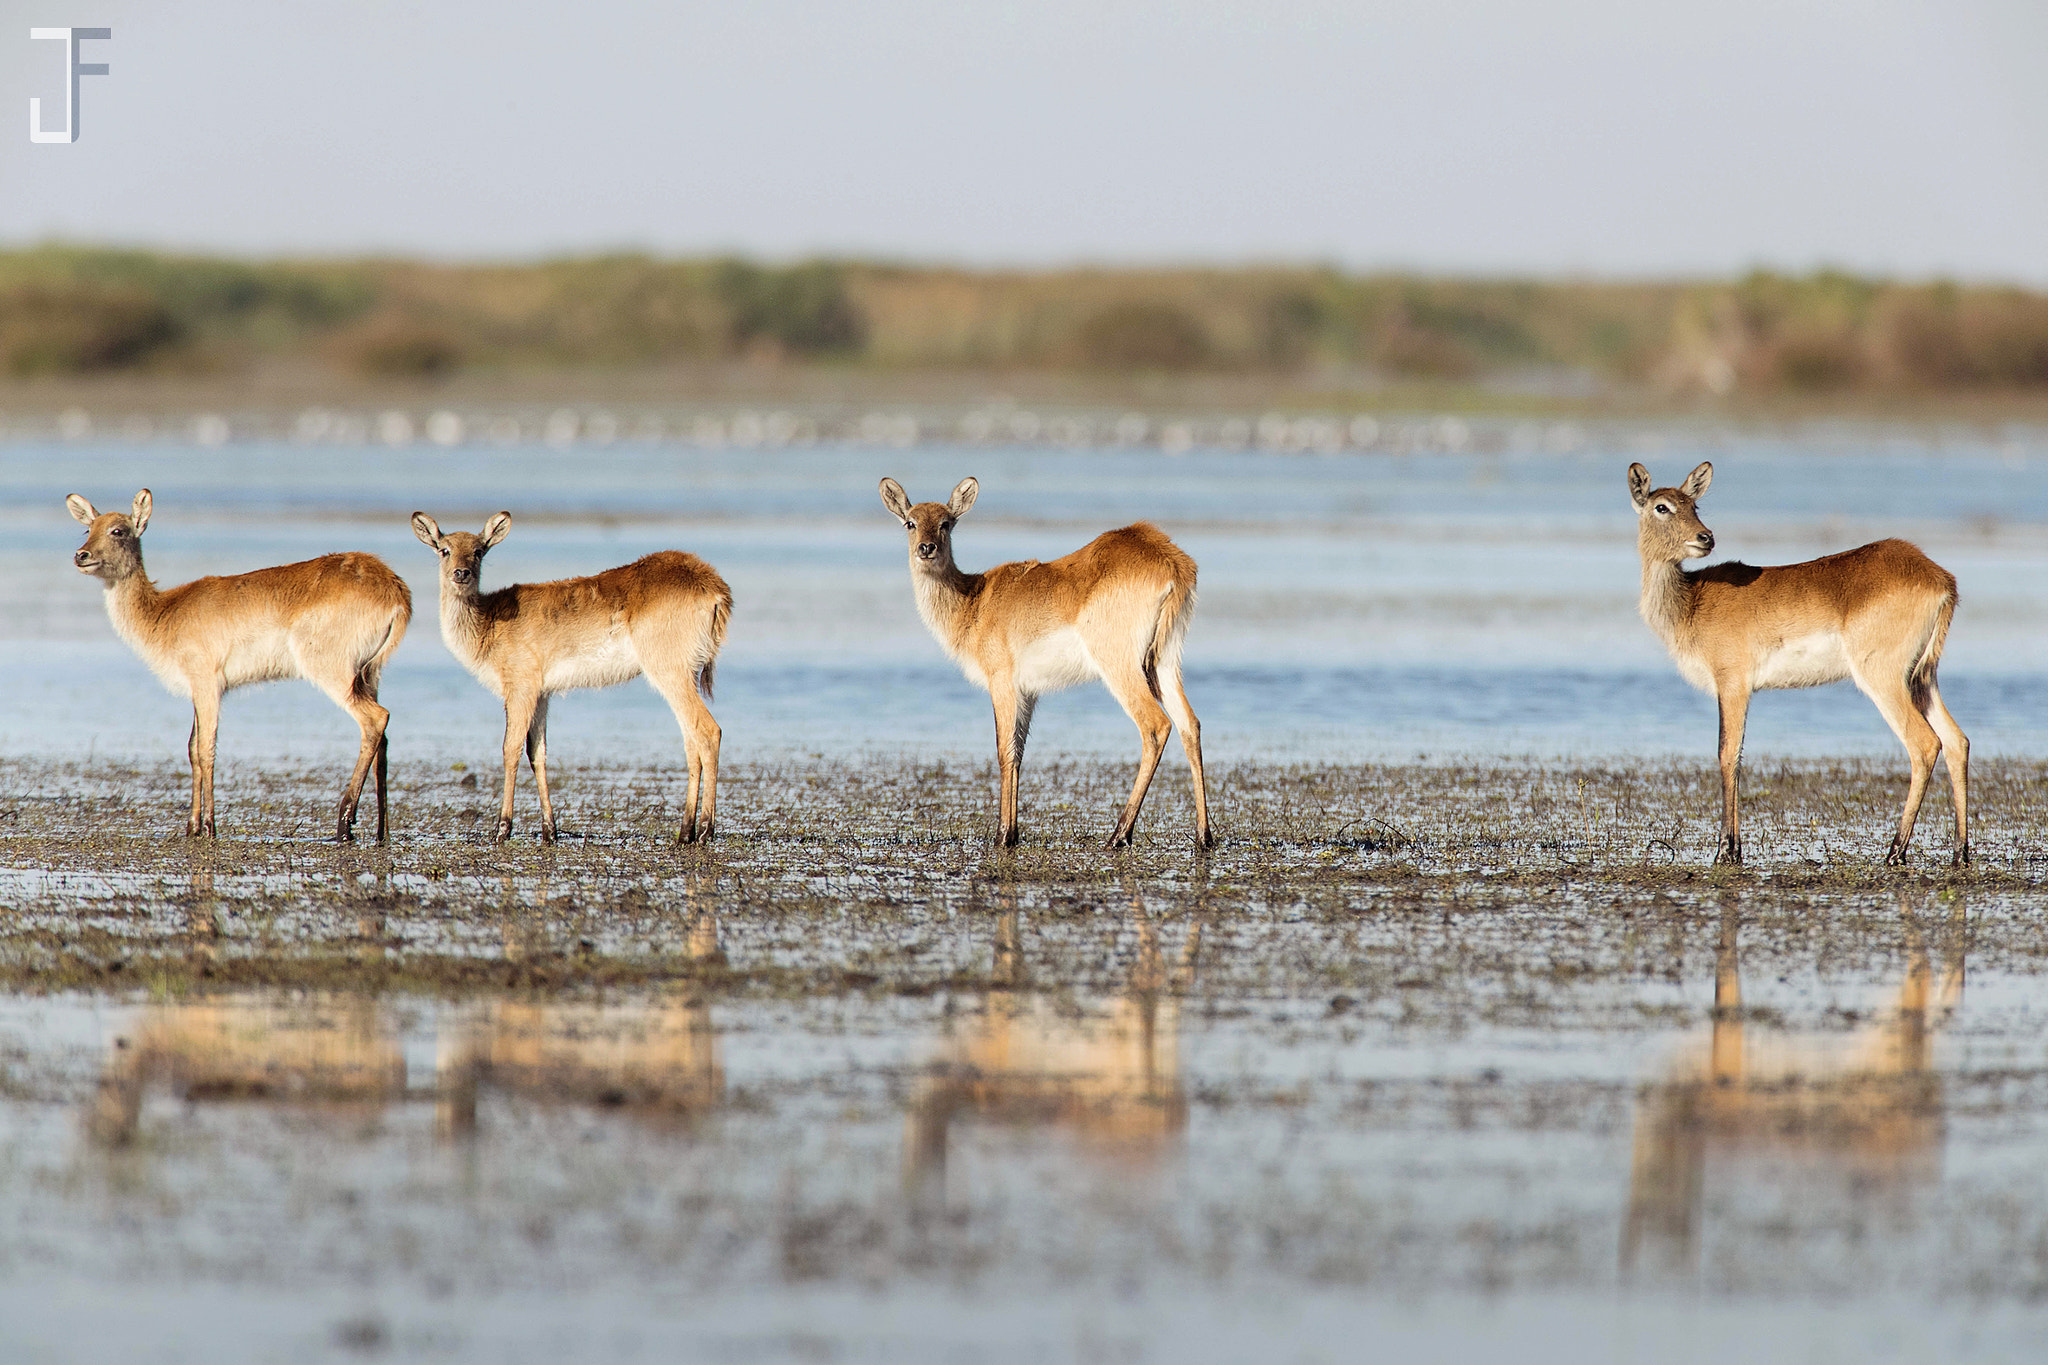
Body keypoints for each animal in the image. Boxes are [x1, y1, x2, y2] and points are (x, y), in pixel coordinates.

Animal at [65, 485, 407, 847]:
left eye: (118, 530)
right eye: (88, 529)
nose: (81, 555)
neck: (164, 613)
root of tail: (395, 590)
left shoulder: (209, 685)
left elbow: (206, 750)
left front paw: (209, 826)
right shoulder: (196, 690)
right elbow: (192, 749)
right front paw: (192, 826)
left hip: (333, 671)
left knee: (375, 719)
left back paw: (344, 824)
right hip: (369, 674)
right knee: (383, 738)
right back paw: (381, 831)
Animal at [411, 511, 733, 843]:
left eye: (478, 550)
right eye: (444, 549)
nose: (461, 573)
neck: (488, 623)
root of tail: (714, 587)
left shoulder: (520, 688)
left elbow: (510, 749)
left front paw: (502, 829)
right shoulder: (542, 694)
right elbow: (537, 752)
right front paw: (549, 830)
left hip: (669, 672)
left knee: (709, 731)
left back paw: (705, 831)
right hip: (684, 675)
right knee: (691, 740)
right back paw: (685, 832)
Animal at [872, 474, 1204, 847]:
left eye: (946, 523)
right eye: (910, 522)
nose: (926, 548)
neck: (973, 602)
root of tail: (1172, 561)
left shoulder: (1002, 682)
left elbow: (1003, 751)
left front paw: (1002, 835)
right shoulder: (1028, 692)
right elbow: (1018, 753)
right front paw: (1013, 832)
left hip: (1120, 666)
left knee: (1156, 726)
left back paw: (1118, 835)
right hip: (1163, 662)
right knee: (1190, 724)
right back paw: (1204, 836)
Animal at [1630, 458, 1966, 863]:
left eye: (1694, 505)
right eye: (1662, 506)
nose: (1705, 537)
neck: (1691, 602)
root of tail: (1941, 578)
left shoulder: (1732, 683)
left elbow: (1727, 754)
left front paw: (1726, 851)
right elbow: (1737, 755)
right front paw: (1734, 848)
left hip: (1881, 676)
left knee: (1925, 744)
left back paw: (1894, 852)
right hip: (1922, 676)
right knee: (1957, 741)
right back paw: (1961, 853)